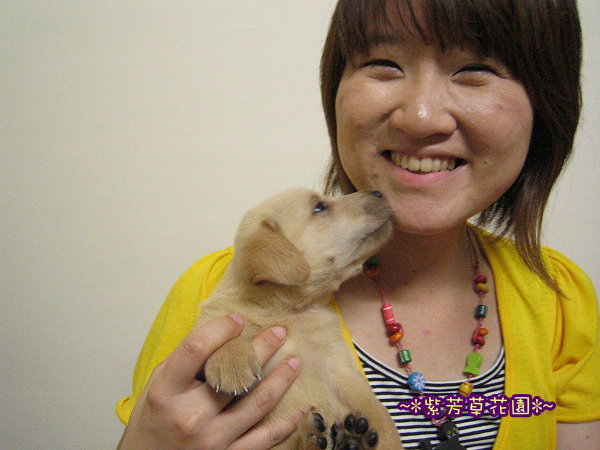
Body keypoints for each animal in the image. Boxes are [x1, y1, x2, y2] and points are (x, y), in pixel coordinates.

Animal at [197, 188, 403, 449]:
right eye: (319, 207)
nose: (377, 191)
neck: (289, 313)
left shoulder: (341, 368)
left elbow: (377, 410)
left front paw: (388, 440)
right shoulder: (214, 314)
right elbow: (226, 323)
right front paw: (231, 363)